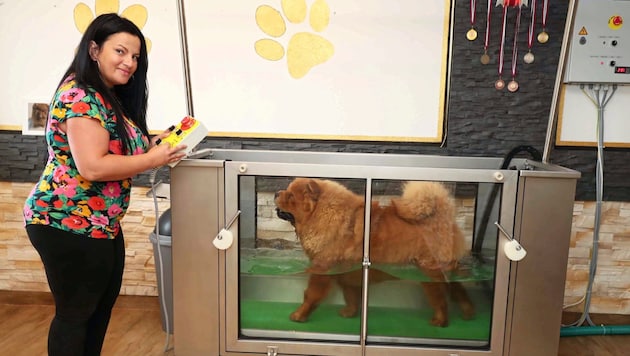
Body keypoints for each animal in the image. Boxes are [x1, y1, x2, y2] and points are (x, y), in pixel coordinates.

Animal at [274, 179, 476, 326]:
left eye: (290, 195)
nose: (276, 192)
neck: (324, 215)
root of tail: (444, 217)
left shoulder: (323, 268)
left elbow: (311, 295)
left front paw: (299, 315)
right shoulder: (347, 274)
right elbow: (351, 296)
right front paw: (349, 313)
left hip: (429, 273)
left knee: (440, 298)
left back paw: (440, 321)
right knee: (457, 288)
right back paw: (467, 311)